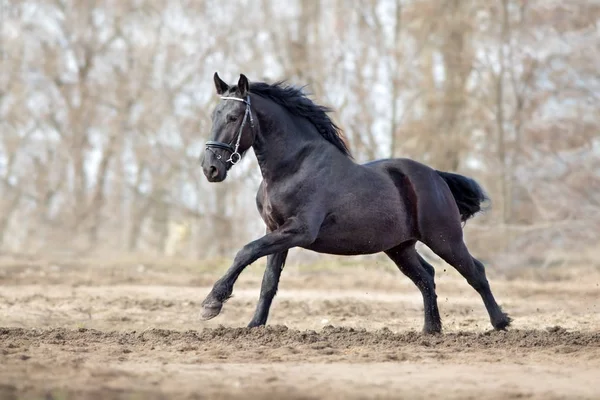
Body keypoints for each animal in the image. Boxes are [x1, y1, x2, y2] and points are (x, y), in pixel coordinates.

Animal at [199, 72, 508, 334]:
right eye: (214, 115)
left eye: (233, 117)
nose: (210, 168)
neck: (293, 166)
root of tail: (436, 177)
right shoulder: (274, 229)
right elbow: (268, 281)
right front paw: (254, 326)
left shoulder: (299, 230)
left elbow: (246, 252)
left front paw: (212, 303)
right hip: (400, 247)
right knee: (426, 276)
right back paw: (430, 330)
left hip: (444, 239)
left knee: (475, 272)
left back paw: (501, 323)